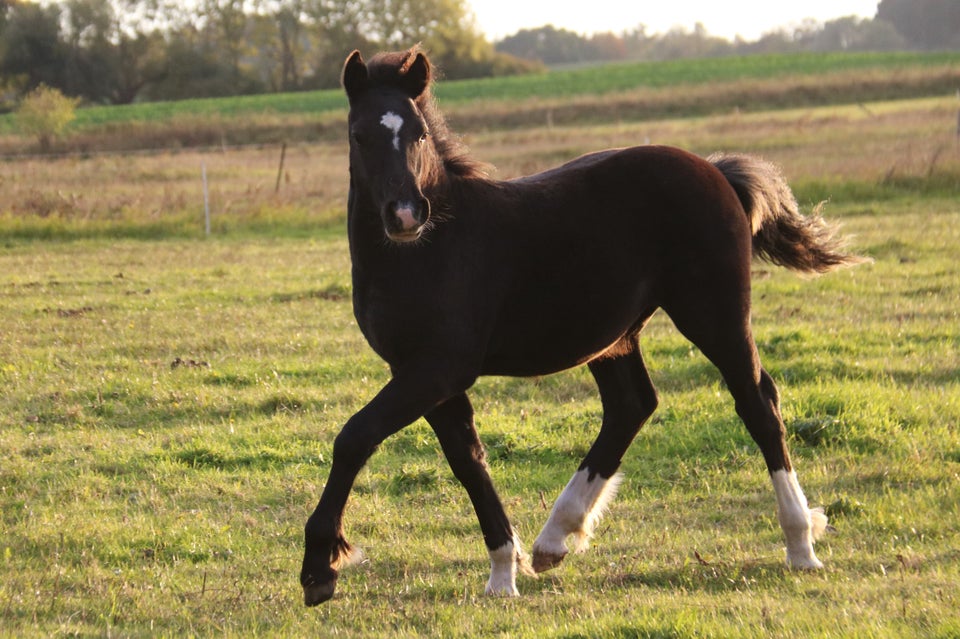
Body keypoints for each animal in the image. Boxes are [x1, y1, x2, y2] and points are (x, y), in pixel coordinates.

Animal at [296, 45, 860, 604]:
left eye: (417, 133)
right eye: (359, 135)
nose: (407, 214)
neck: (426, 251)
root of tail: (716, 170)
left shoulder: (438, 369)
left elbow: (355, 437)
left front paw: (320, 567)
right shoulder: (423, 374)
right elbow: (468, 460)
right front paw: (503, 574)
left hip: (714, 314)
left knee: (757, 403)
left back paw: (800, 545)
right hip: (614, 337)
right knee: (632, 405)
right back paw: (555, 539)